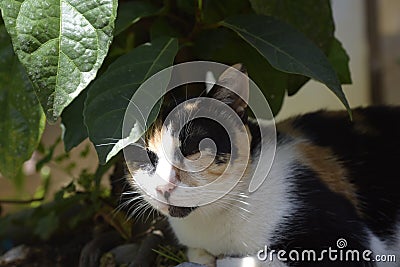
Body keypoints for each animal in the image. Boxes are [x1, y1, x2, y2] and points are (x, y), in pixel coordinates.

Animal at [126, 63, 400, 266]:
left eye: (193, 148)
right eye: (147, 157)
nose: (164, 187)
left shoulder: (350, 245)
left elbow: (242, 261)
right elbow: (199, 254)